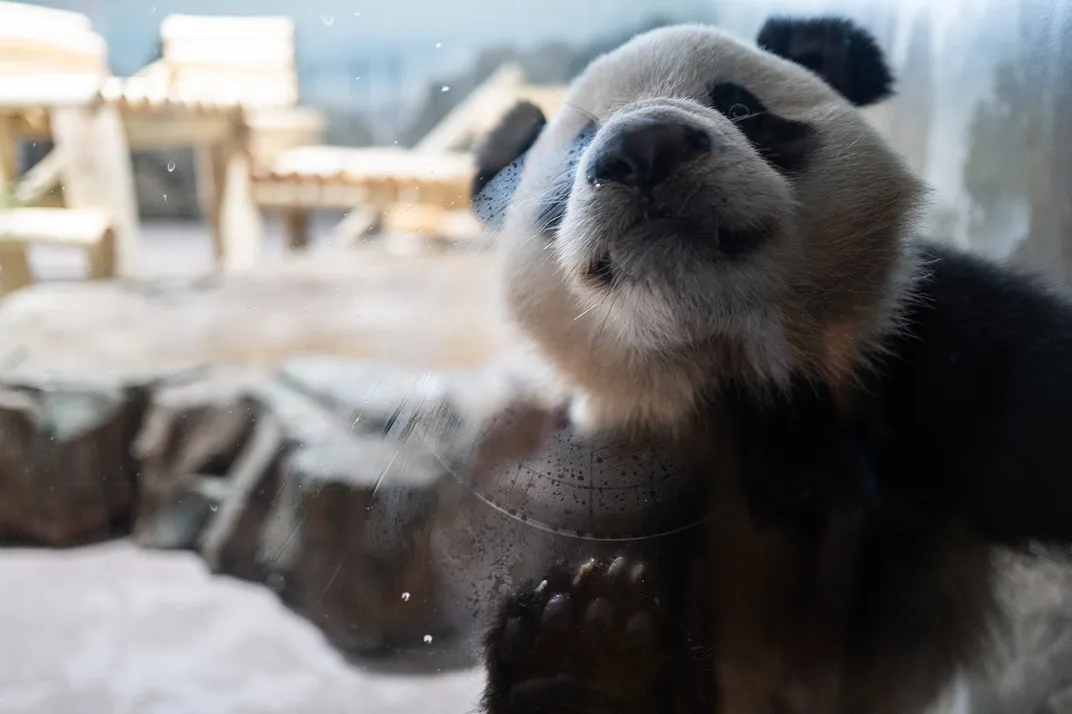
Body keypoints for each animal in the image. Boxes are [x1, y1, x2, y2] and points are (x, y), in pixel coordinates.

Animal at [448, 13, 1072, 711]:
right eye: (580, 146)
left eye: (741, 107)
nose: (647, 146)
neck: (730, 359)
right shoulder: (609, 462)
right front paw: (583, 642)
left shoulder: (921, 350)